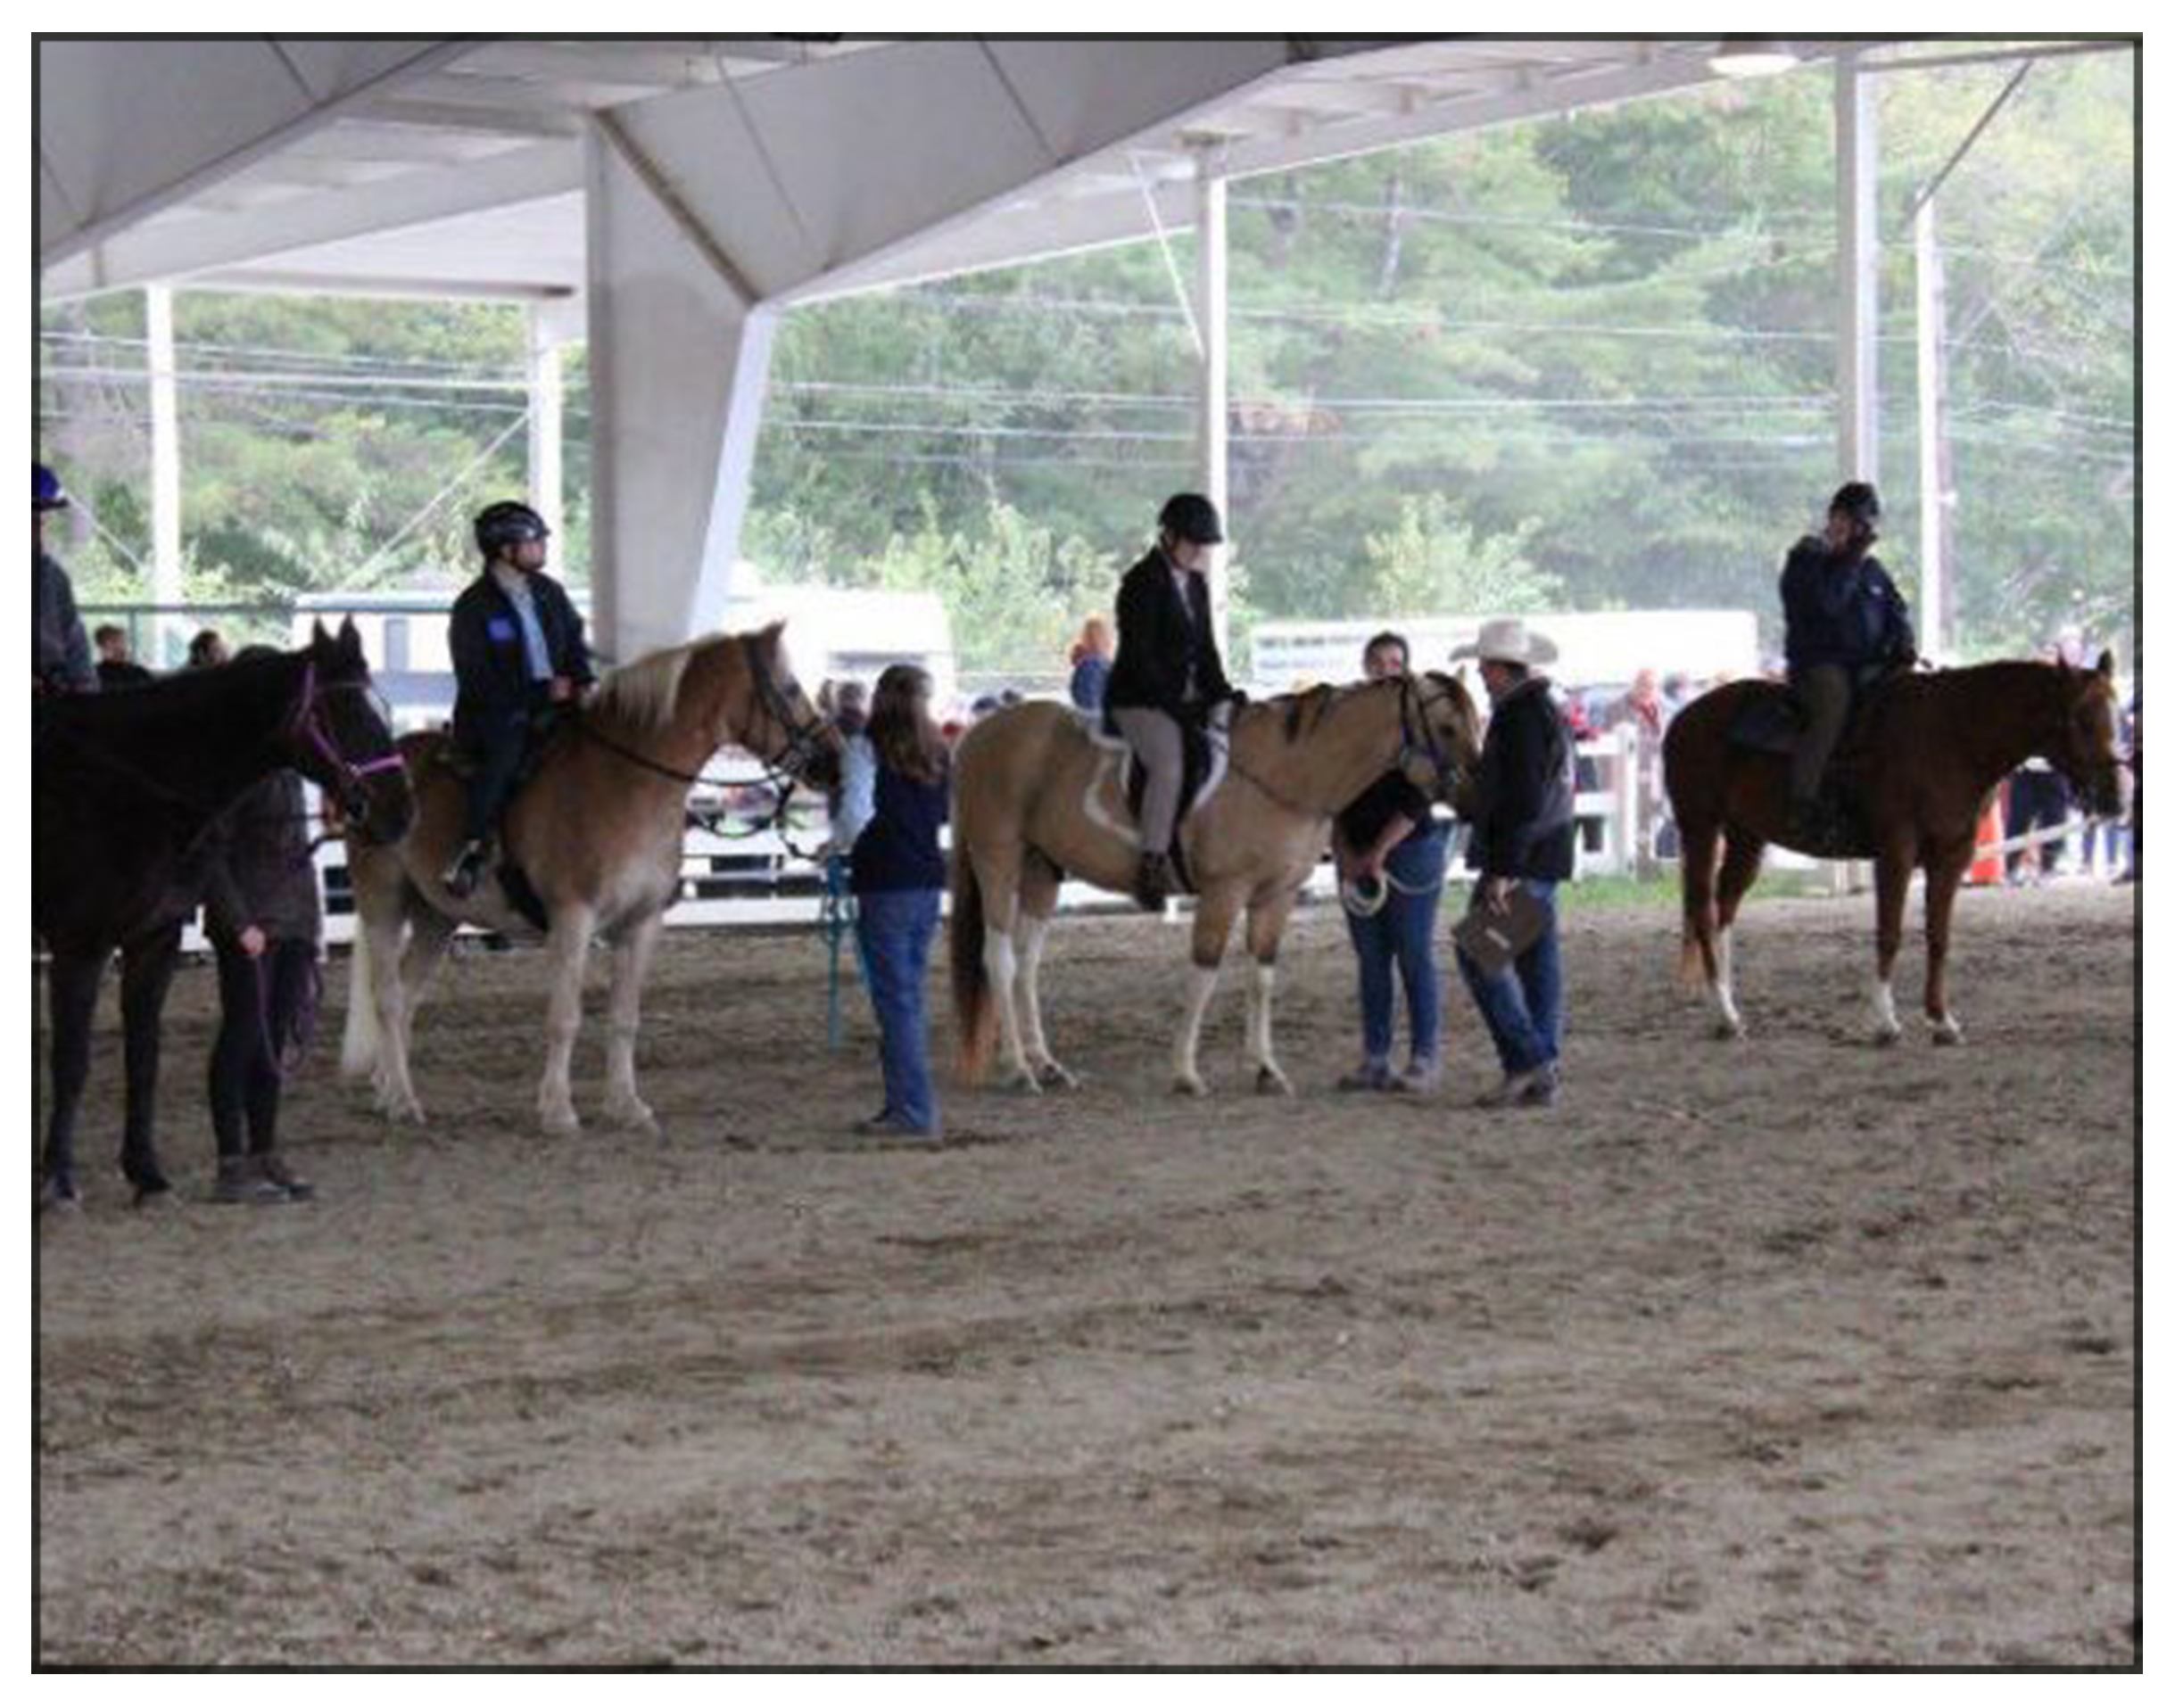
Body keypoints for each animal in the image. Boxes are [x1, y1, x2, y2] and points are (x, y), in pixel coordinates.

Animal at [33, 621, 413, 1208]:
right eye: (346, 711)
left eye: (382, 708)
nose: (401, 812)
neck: (127, 782)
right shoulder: (81, 944)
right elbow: (71, 1062)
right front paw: (57, 1182)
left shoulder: (154, 941)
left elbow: (144, 1057)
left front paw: (147, 1175)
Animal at [340, 622, 842, 1134]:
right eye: (790, 688)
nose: (833, 759)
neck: (628, 784)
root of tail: (379, 771)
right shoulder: (573, 917)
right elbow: (565, 1017)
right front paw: (558, 1110)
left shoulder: (642, 923)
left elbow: (625, 1018)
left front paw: (627, 1105)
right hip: (383, 902)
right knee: (389, 998)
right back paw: (403, 1100)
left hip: (437, 917)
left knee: (408, 994)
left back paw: (387, 1090)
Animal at [950, 673, 1483, 1096]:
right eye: (1448, 727)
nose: (1476, 792)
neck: (1283, 774)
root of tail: (980, 734)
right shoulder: (1225, 893)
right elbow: (1204, 974)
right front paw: (1186, 1072)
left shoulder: (1276, 897)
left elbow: (1261, 977)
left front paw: (1266, 1069)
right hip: (998, 860)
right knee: (999, 959)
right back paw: (1018, 1069)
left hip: (1042, 870)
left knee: (1027, 965)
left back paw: (1046, 1064)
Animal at [1663, 653, 2129, 1045]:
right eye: (2081, 719)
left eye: (2116, 715)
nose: (2115, 797)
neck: (1952, 737)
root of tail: (1685, 718)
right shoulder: (1897, 851)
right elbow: (1889, 933)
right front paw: (1886, 1022)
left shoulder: (1952, 856)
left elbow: (1939, 936)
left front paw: (1941, 1020)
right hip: (1700, 827)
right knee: (1703, 912)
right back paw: (1725, 1013)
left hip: (1746, 837)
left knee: (1724, 909)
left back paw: (1726, 1003)